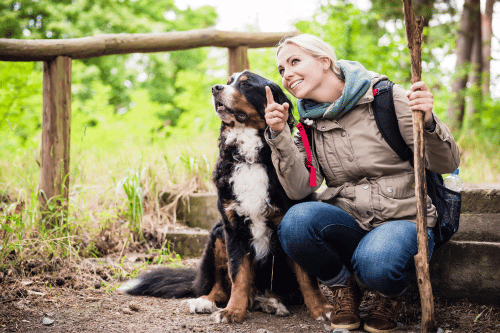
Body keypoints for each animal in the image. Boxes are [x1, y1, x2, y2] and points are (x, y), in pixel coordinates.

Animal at [122, 69, 332, 322]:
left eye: (246, 84)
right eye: (228, 81)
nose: (215, 88)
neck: (249, 158)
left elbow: (307, 278)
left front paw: (322, 309)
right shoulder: (233, 227)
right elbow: (238, 275)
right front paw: (233, 311)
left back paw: (272, 302)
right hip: (217, 233)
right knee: (221, 287)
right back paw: (206, 301)